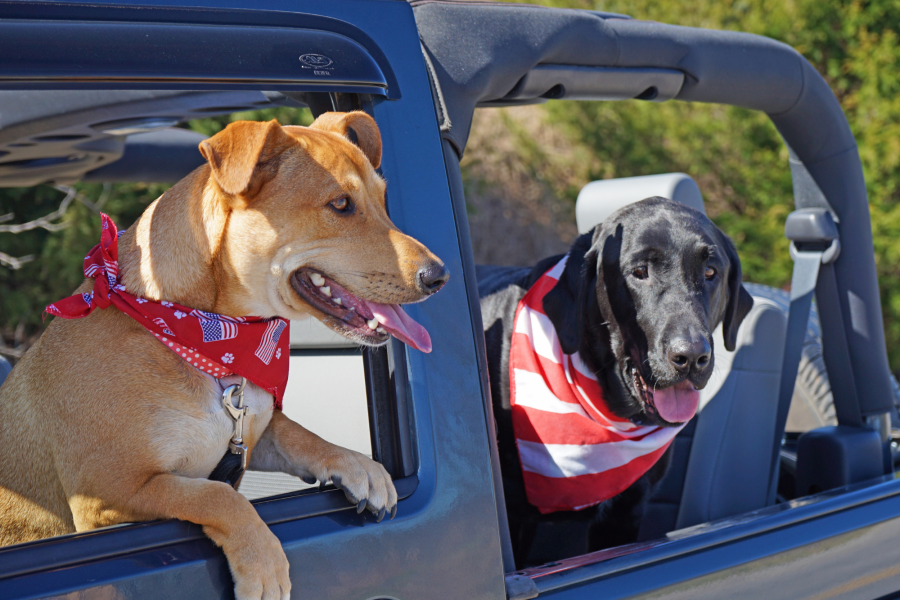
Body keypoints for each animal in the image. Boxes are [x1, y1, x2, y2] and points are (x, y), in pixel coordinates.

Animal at [0, 110, 448, 596]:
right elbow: (216, 495)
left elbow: (296, 433)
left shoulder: (249, 432)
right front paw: (264, 564)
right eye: (341, 205)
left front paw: (359, 465)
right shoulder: (108, 496)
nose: (438, 276)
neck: (206, 342)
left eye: (383, 200)